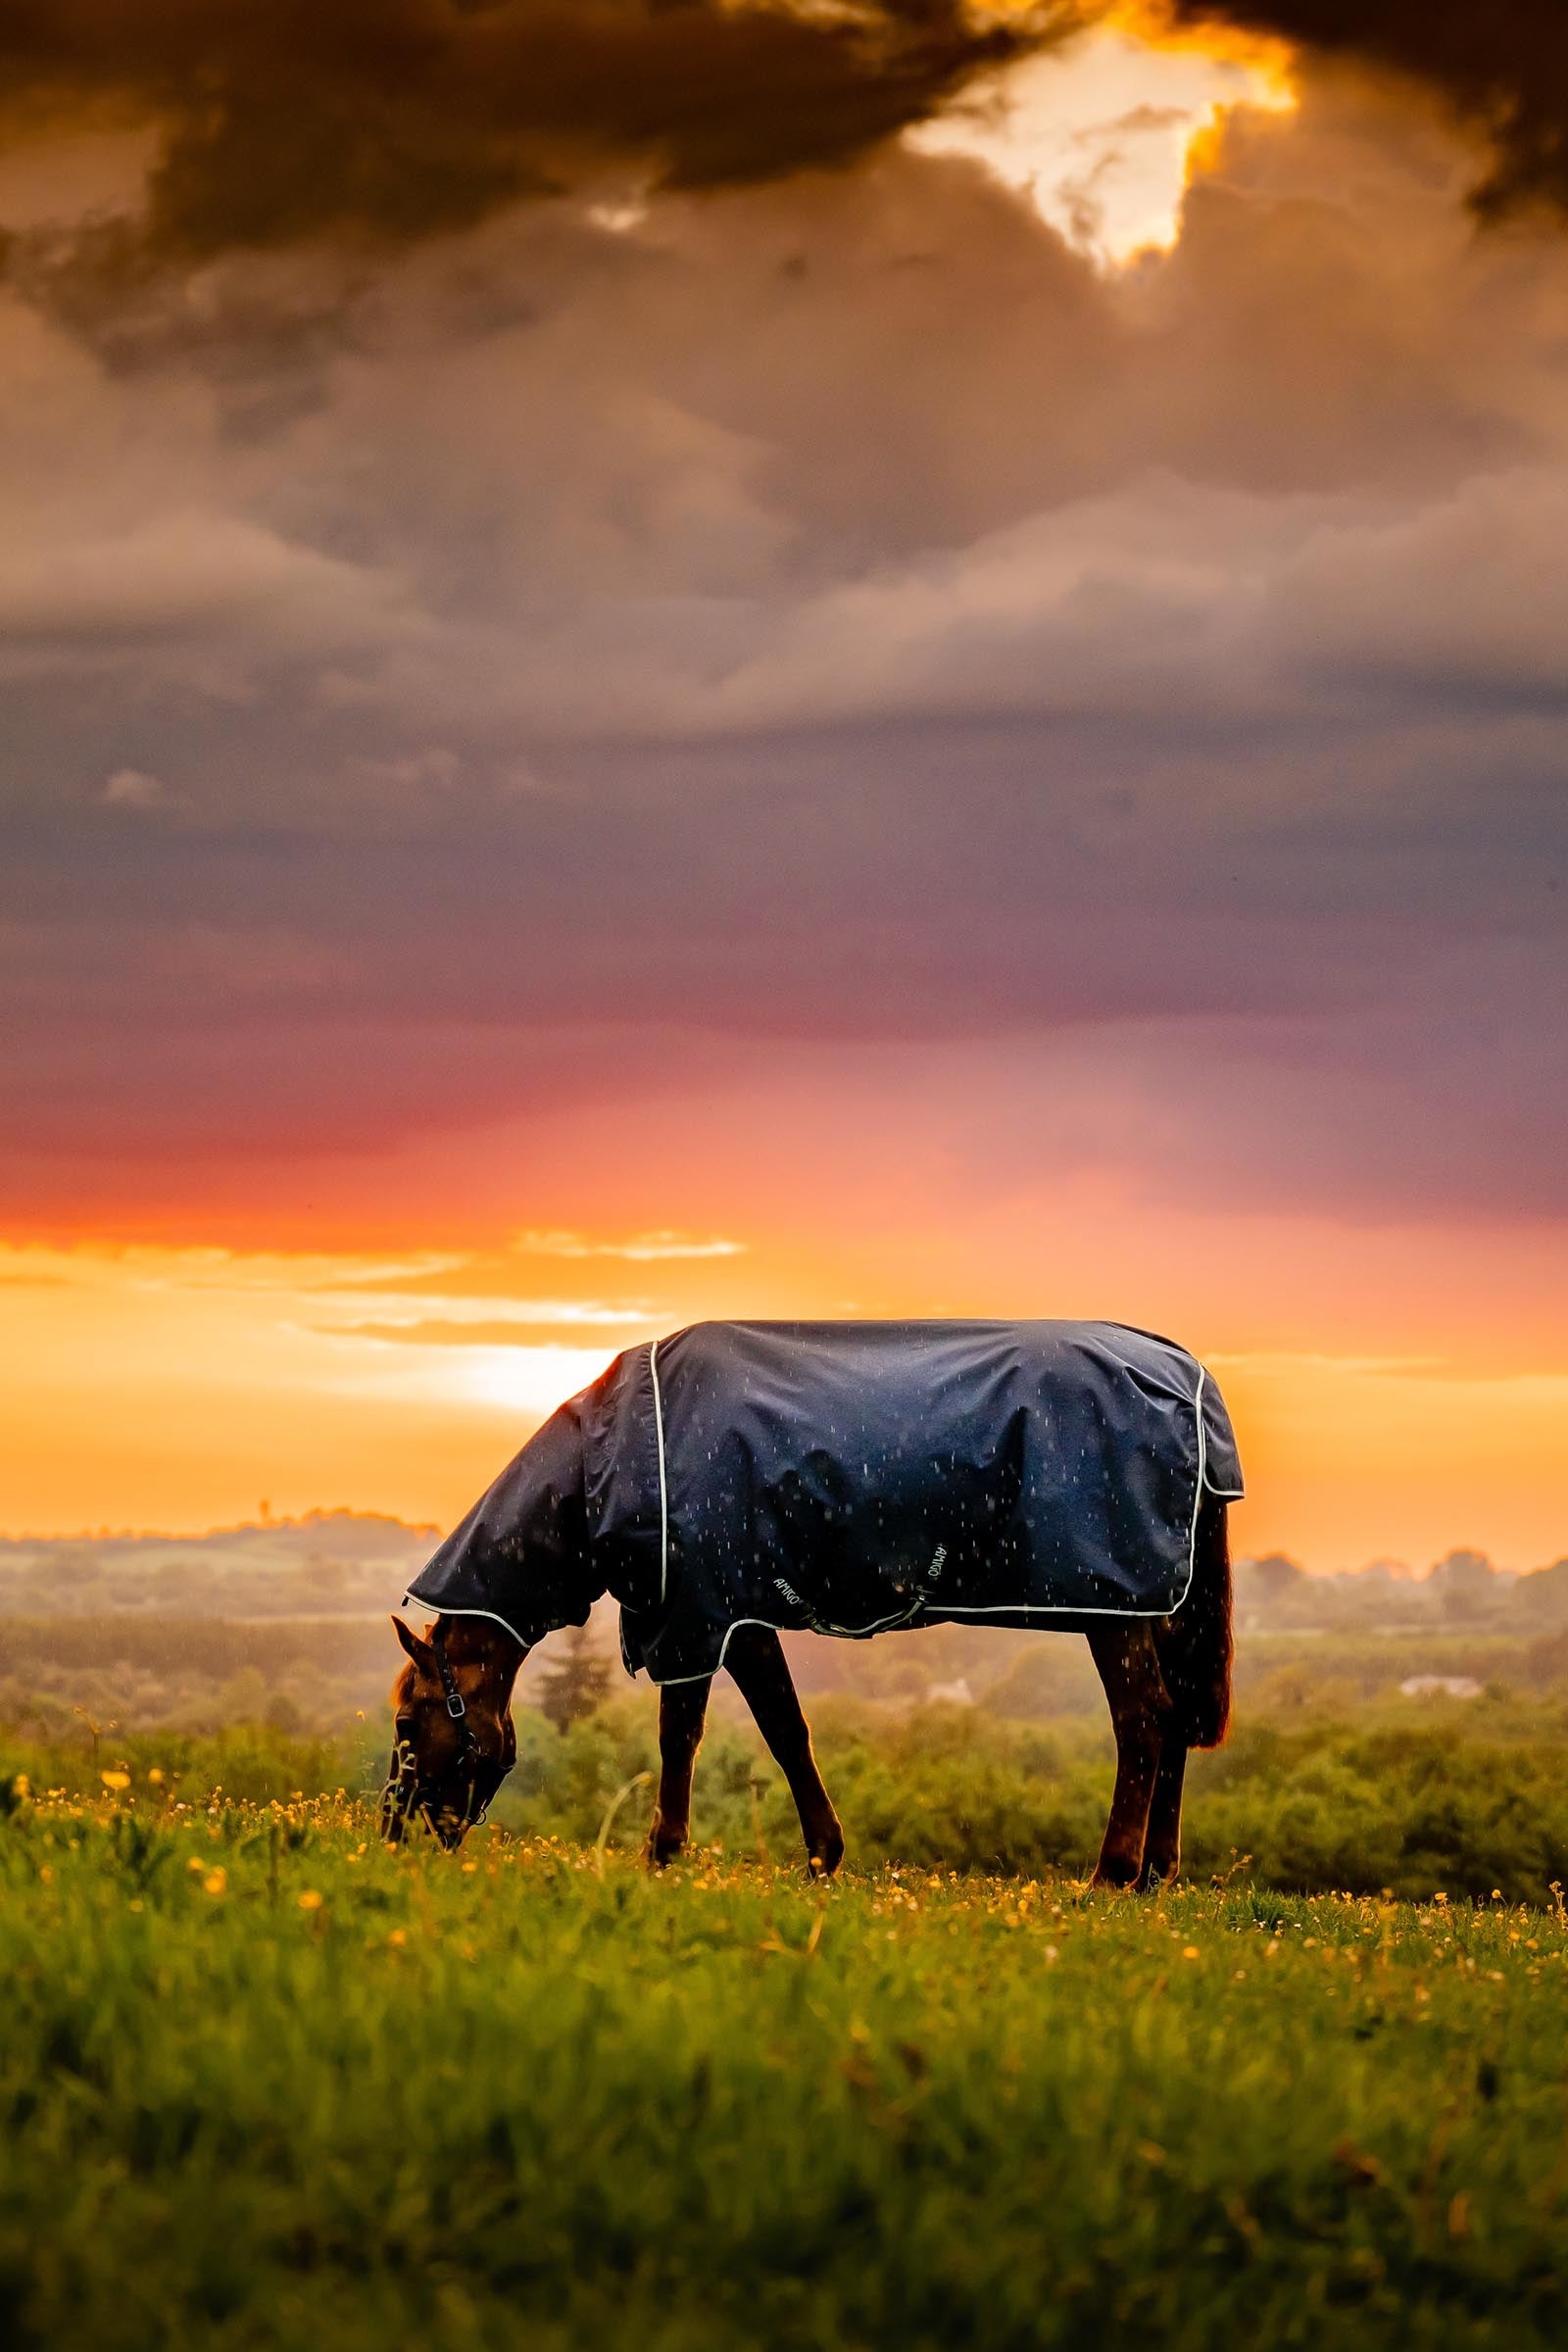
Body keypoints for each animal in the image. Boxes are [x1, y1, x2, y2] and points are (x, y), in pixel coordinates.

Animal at [381, 1318, 1238, 1888]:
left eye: (406, 1722)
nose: (394, 1834)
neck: (612, 1460)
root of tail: (1186, 1374)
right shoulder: (726, 1618)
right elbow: (769, 1730)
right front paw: (814, 1856)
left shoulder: (708, 1618)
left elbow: (716, 1734)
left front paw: (671, 1854)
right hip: (1150, 1608)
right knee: (1172, 1721)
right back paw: (1155, 1873)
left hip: (1113, 1607)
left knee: (1145, 1719)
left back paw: (1113, 1873)